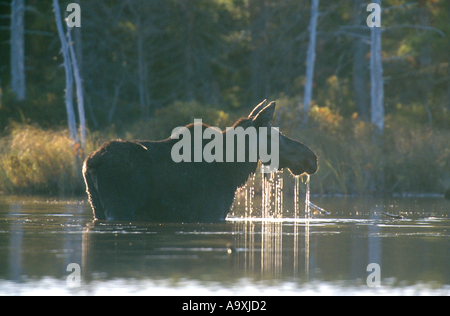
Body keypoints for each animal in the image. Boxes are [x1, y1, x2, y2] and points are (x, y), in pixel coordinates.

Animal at [83, 100, 316, 222]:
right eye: (274, 134)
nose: (312, 158)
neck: (234, 168)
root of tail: (91, 163)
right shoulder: (212, 211)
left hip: (98, 207)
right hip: (119, 208)